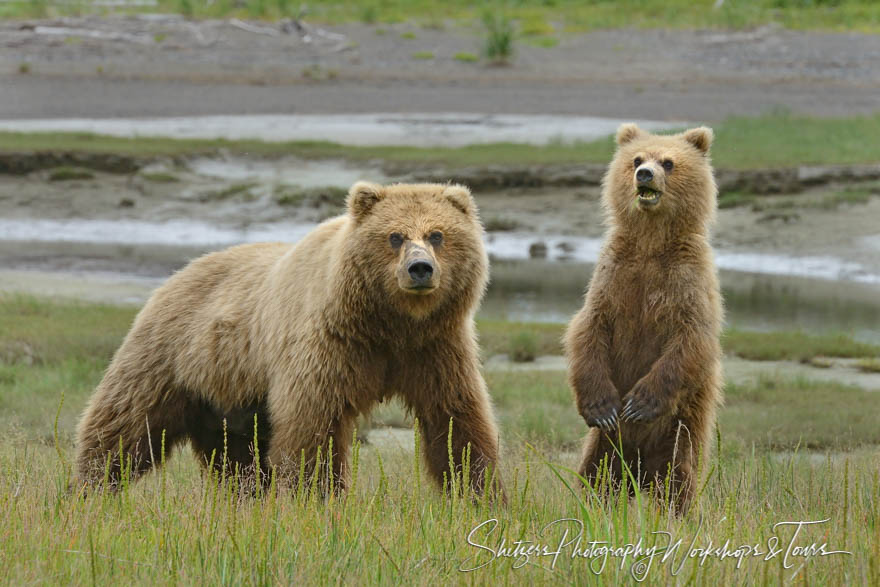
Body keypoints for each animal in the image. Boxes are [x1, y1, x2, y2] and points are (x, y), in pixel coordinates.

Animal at [75, 181, 502, 498]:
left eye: (438, 234)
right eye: (395, 236)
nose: (420, 268)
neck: (389, 325)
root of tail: (177, 274)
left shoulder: (435, 348)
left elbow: (457, 419)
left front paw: (478, 494)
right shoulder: (332, 345)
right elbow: (313, 424)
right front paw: (315, 498)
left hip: (229, 400)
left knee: (236, 461)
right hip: (172, 357)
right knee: (125, 426)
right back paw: (87, 489)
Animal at [568, 124, 724, 516]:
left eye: (668, 162)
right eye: (636, 159)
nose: (644, 174)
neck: (651, 244)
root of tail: (636, 473)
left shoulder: (688, 282)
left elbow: (691, 342)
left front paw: (639, 404)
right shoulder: (613, 277)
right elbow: (587, 329)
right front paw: (604, 407)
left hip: (678, 433)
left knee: (677, 481)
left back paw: (678, 516)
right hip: (605, 448)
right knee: (594, 477)